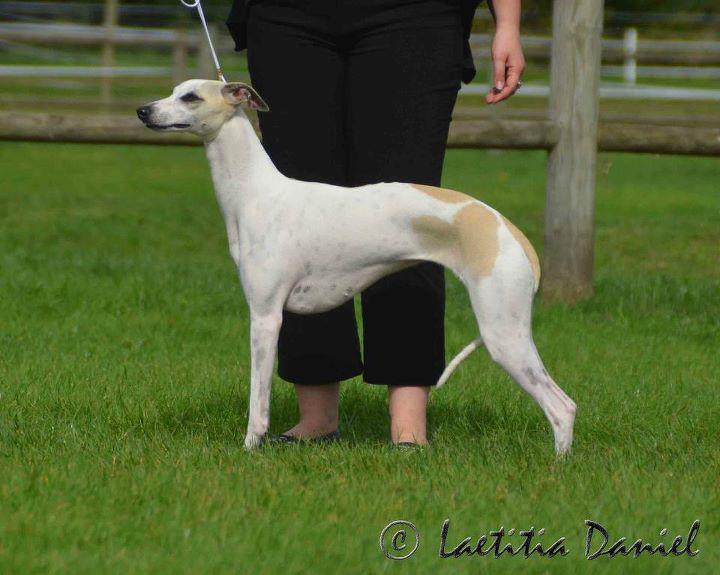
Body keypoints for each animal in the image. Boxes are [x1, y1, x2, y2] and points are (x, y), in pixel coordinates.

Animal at [138, 79, 580, 454]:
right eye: (173, 90)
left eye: (191, 97)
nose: (143, 110)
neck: (256, 193)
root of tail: (510, 231)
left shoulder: (265, 317)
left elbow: (257, 398)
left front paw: (250, 448)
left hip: (503, 331)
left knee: (561, 406)